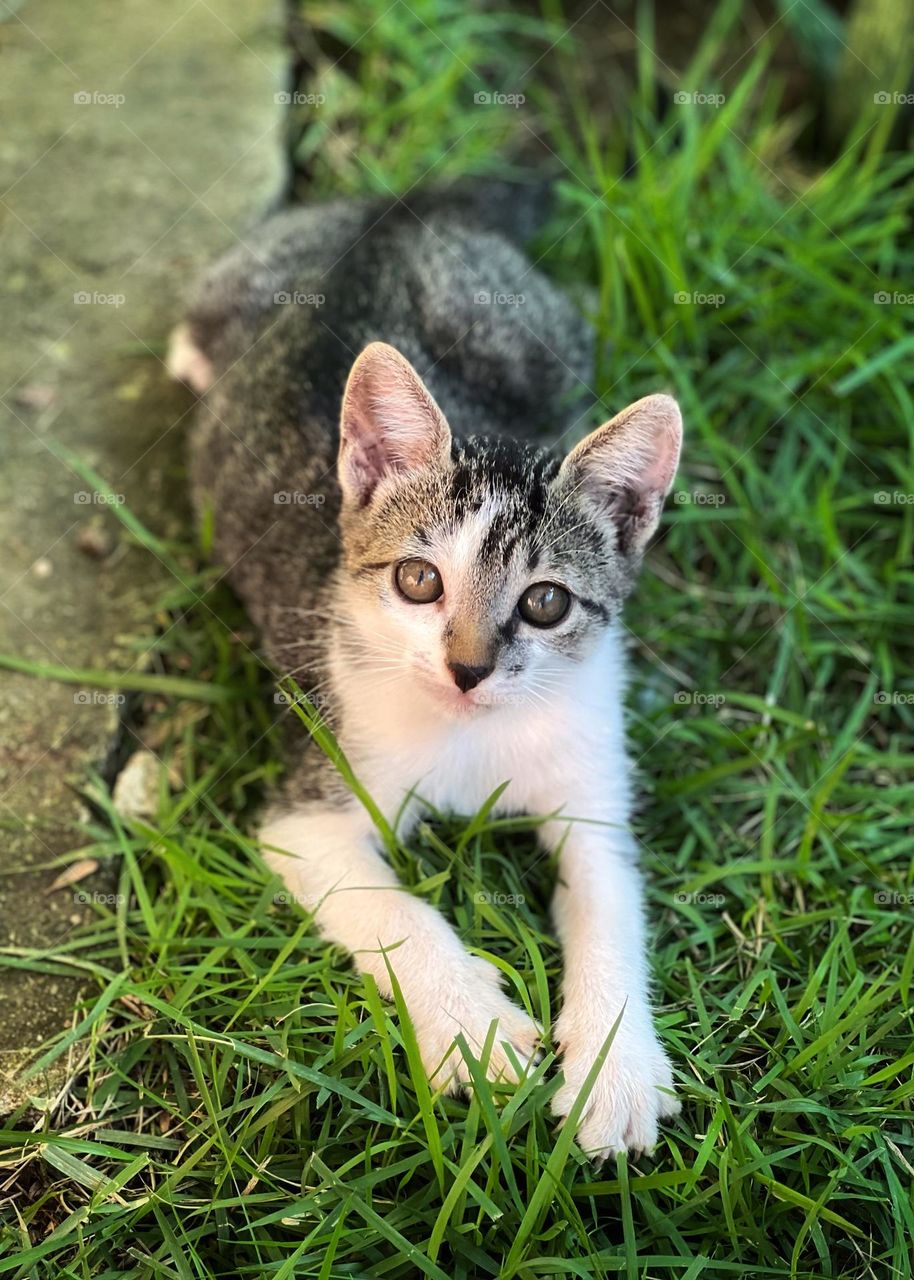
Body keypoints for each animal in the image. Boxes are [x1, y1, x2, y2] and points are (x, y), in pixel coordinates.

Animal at [167, 183, 681, 1162]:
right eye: (418, 580)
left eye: (546, 603)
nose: (469, 667)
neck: (469, 733)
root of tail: (401, 212)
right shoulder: (311, 802)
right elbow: (390, 908)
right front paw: (475, 1028)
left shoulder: (591, 779)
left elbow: (610, 902)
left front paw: (614, 1067)